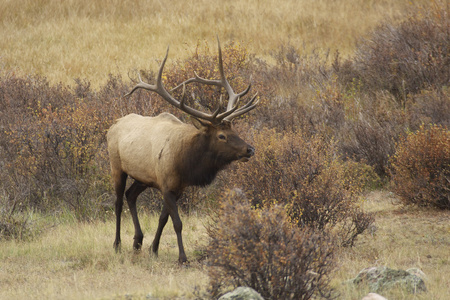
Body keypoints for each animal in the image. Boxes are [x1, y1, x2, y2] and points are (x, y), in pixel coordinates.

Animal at [107, 39, 258, 262]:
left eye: (235, 130)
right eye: (221, 136)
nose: (249, 149)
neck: (185, 163)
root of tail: (112, 126)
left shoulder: (177, 187)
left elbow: (163, 218)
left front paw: (154, 248)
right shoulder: (166, 185)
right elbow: (177, 223)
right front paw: (182, 257)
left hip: (143, 177)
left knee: (130, 195)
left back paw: (138, 241)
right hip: (117, 166)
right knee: (117, 202)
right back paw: (117, 244)